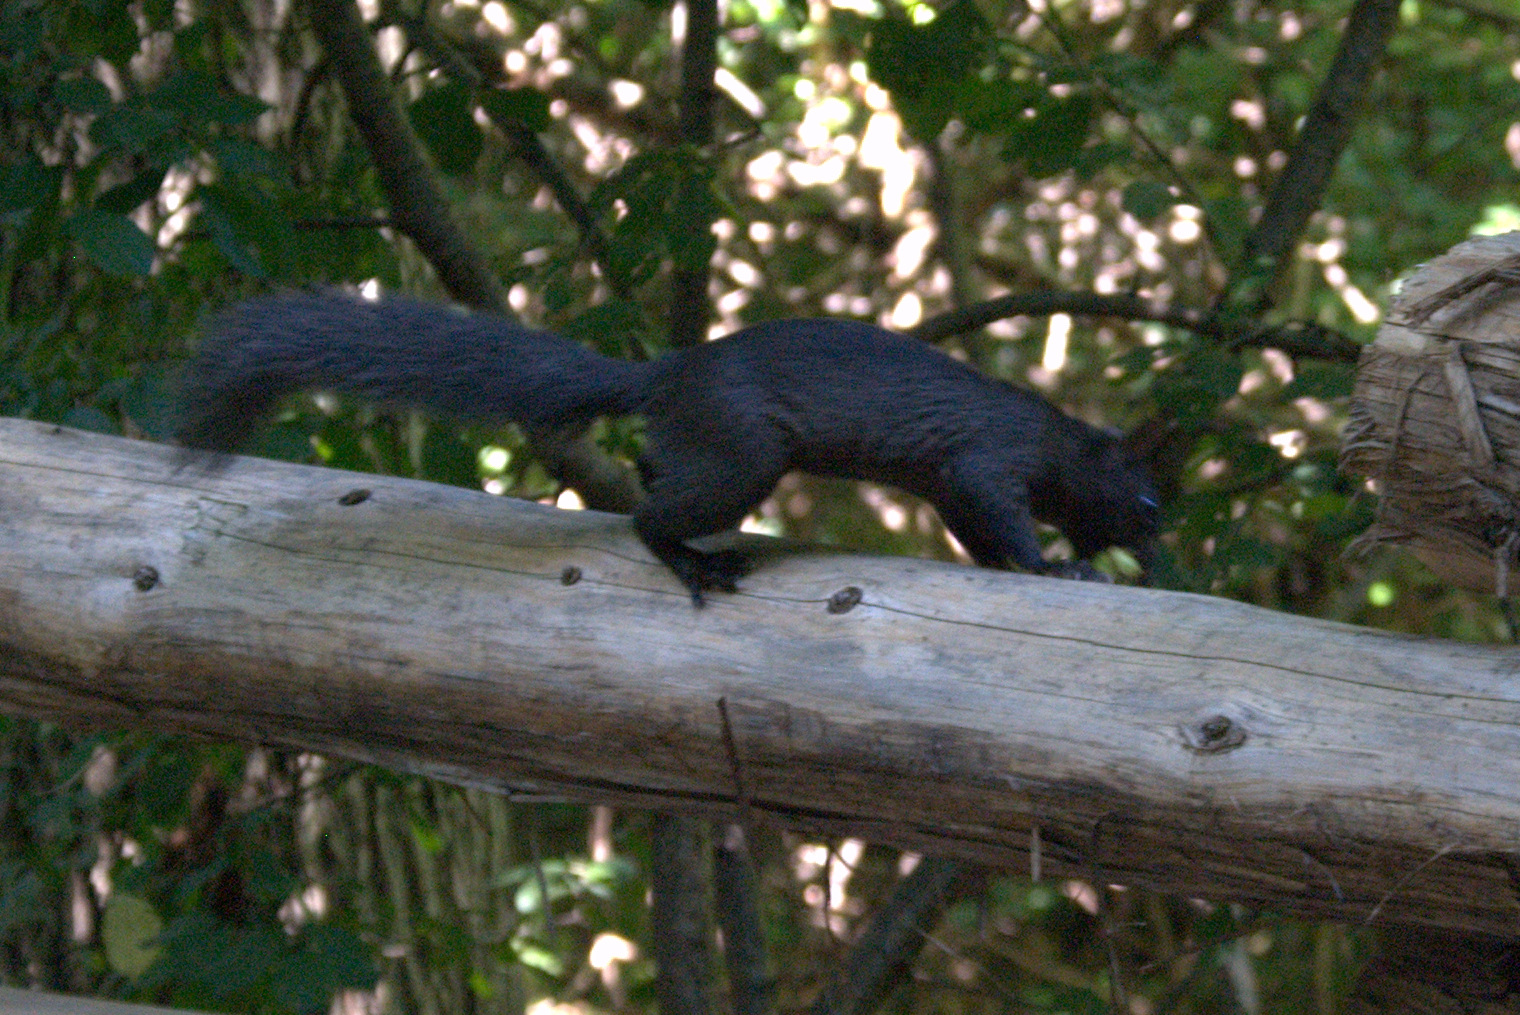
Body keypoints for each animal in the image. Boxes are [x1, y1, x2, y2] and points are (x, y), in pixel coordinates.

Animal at [178, 291, 1160, 604]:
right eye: (1149, 499)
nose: (1158, 550)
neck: (1053, 436)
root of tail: (670, 375)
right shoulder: (987, 459)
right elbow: (1005, 518)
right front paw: (1059, 566)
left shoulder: (953, 485)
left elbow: (976, 533)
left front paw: (1009, 567)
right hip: (745, 455)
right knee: (648, 519)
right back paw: (698, 565)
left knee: (655, 480)